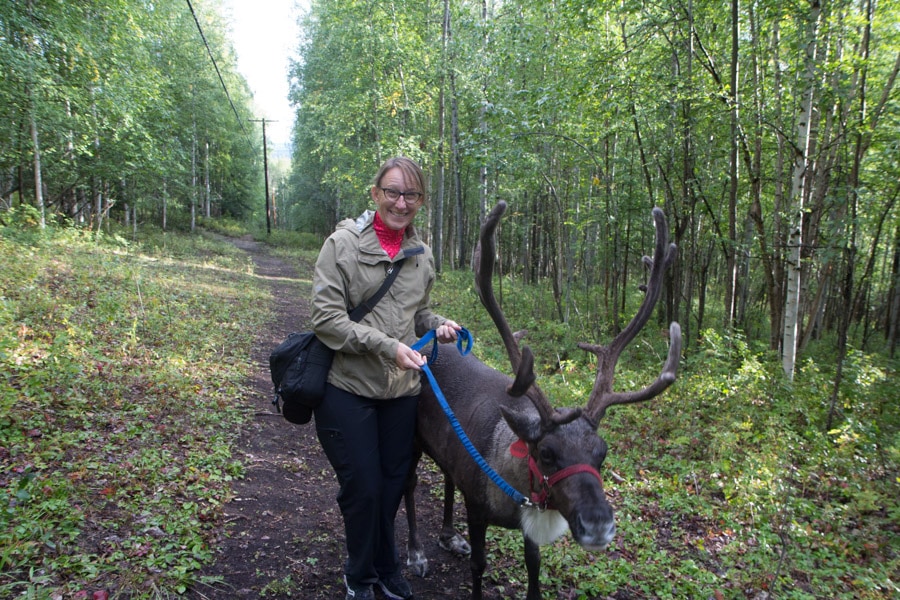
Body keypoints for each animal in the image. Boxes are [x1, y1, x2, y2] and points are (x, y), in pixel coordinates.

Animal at [403, 201, 682, 600]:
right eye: (547, 453)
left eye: (603, 452)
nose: (598, 525)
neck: (517, 488)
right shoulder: (477, 507)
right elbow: (479, 566)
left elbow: (533, 565)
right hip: (411, 439)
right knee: (409, 486)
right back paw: (416, 554)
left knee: (446, 476)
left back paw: (448, 536)